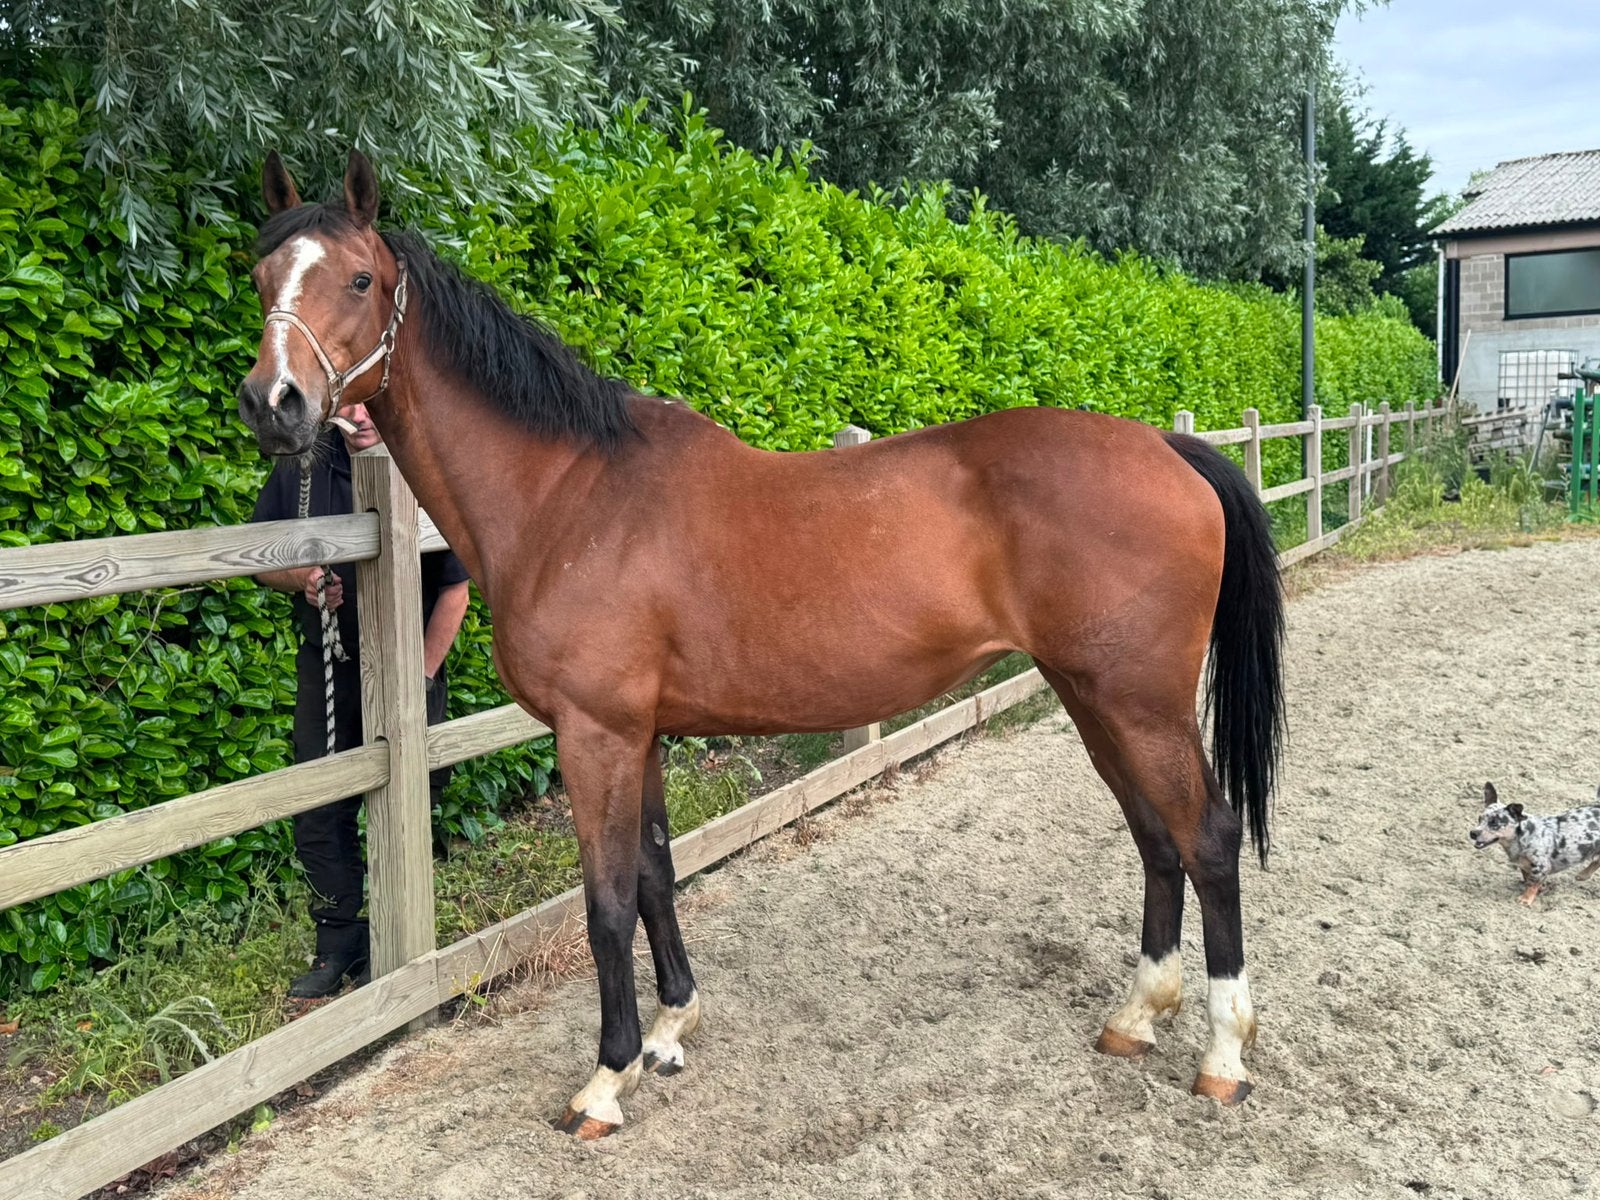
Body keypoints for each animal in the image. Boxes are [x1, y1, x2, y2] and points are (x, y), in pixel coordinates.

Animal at [236, 149, 1286, 1138]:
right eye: (259, 274)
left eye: (359, 279)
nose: (273, 404)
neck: (570, 493)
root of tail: (1165, 448)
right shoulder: (640, 735)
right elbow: (656, 875)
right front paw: (668, 1033)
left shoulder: (595, 734)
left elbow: (605, 904)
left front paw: (604, 1080)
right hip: (1091, 695)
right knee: (1153, 835)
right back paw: (1136, 1017)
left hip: (1137, 702)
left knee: (1207, 835)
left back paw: (1223, 1055)